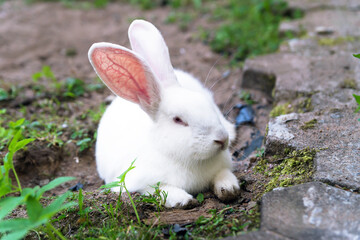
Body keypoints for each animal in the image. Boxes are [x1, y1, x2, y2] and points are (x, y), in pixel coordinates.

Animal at [88, 19, 239, 207]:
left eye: (206, 104)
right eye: (178, 120)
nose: (222, 139)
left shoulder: (223, 166)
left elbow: (224, 174)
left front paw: (229, 189)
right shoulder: (140, 183)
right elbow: (161, 190)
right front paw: (184, 200)